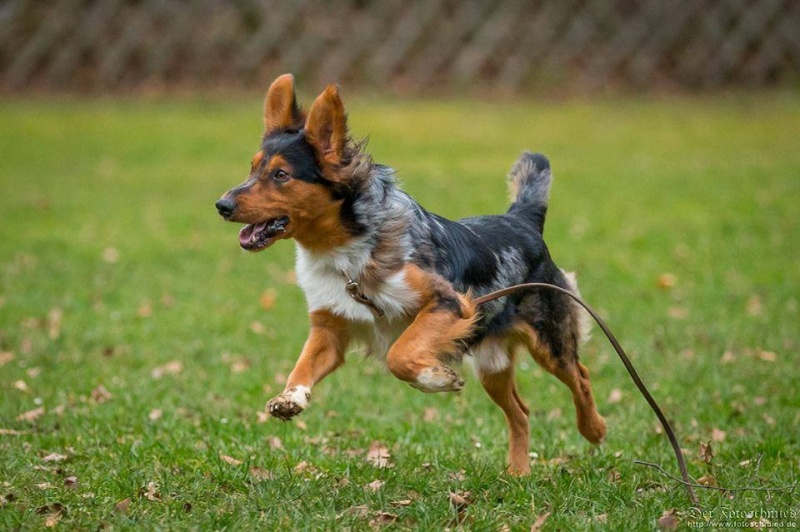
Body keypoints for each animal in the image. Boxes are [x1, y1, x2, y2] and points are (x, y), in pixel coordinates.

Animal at [216, 74, 604, 474]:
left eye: (281, 175)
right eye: (252, 169)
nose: (222, 205)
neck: (347, 253)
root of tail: (522, 219)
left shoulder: (447, 303)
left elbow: (399, 355)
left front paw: (436, 378)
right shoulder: (330, 329)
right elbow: (303, 365)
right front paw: (290, 398)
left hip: (549, 342)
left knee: (581, 375)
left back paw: (593, 429)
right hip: (492, 363)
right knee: (521, 412)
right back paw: (518, 474)